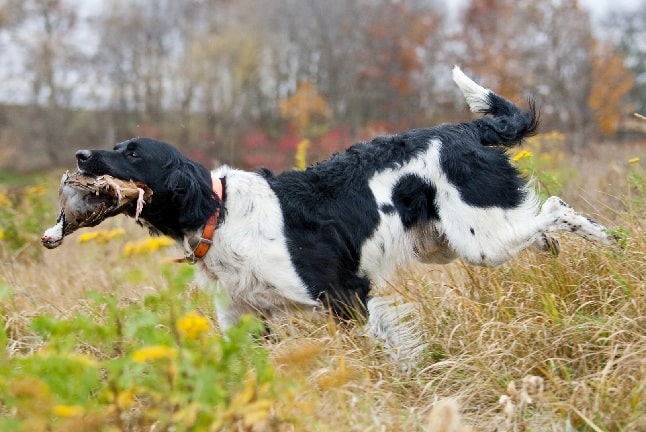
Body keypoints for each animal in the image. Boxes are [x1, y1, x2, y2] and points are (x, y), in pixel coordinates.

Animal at [73, 67, 616, 342]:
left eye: (133, 154)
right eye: (118, 146)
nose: (80, 155)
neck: (219, 214)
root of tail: (467, 129)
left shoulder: (345, 294)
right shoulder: (242, 317)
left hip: (478, 240)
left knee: (558, 208)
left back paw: (612, 242)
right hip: (446, 244)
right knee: (540, 228)